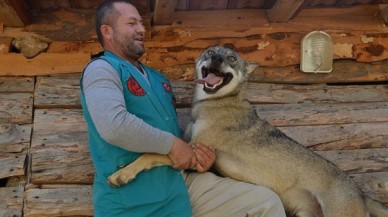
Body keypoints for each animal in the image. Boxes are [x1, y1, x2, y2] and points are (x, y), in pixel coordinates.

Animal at [107, 45, 388, 217]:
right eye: (210, 52)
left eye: (231, 58)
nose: (216, 59)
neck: (213, 103)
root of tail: (361, 193)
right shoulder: (191, 150)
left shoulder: (191, 151)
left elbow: (150, 155)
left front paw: (123, 174)